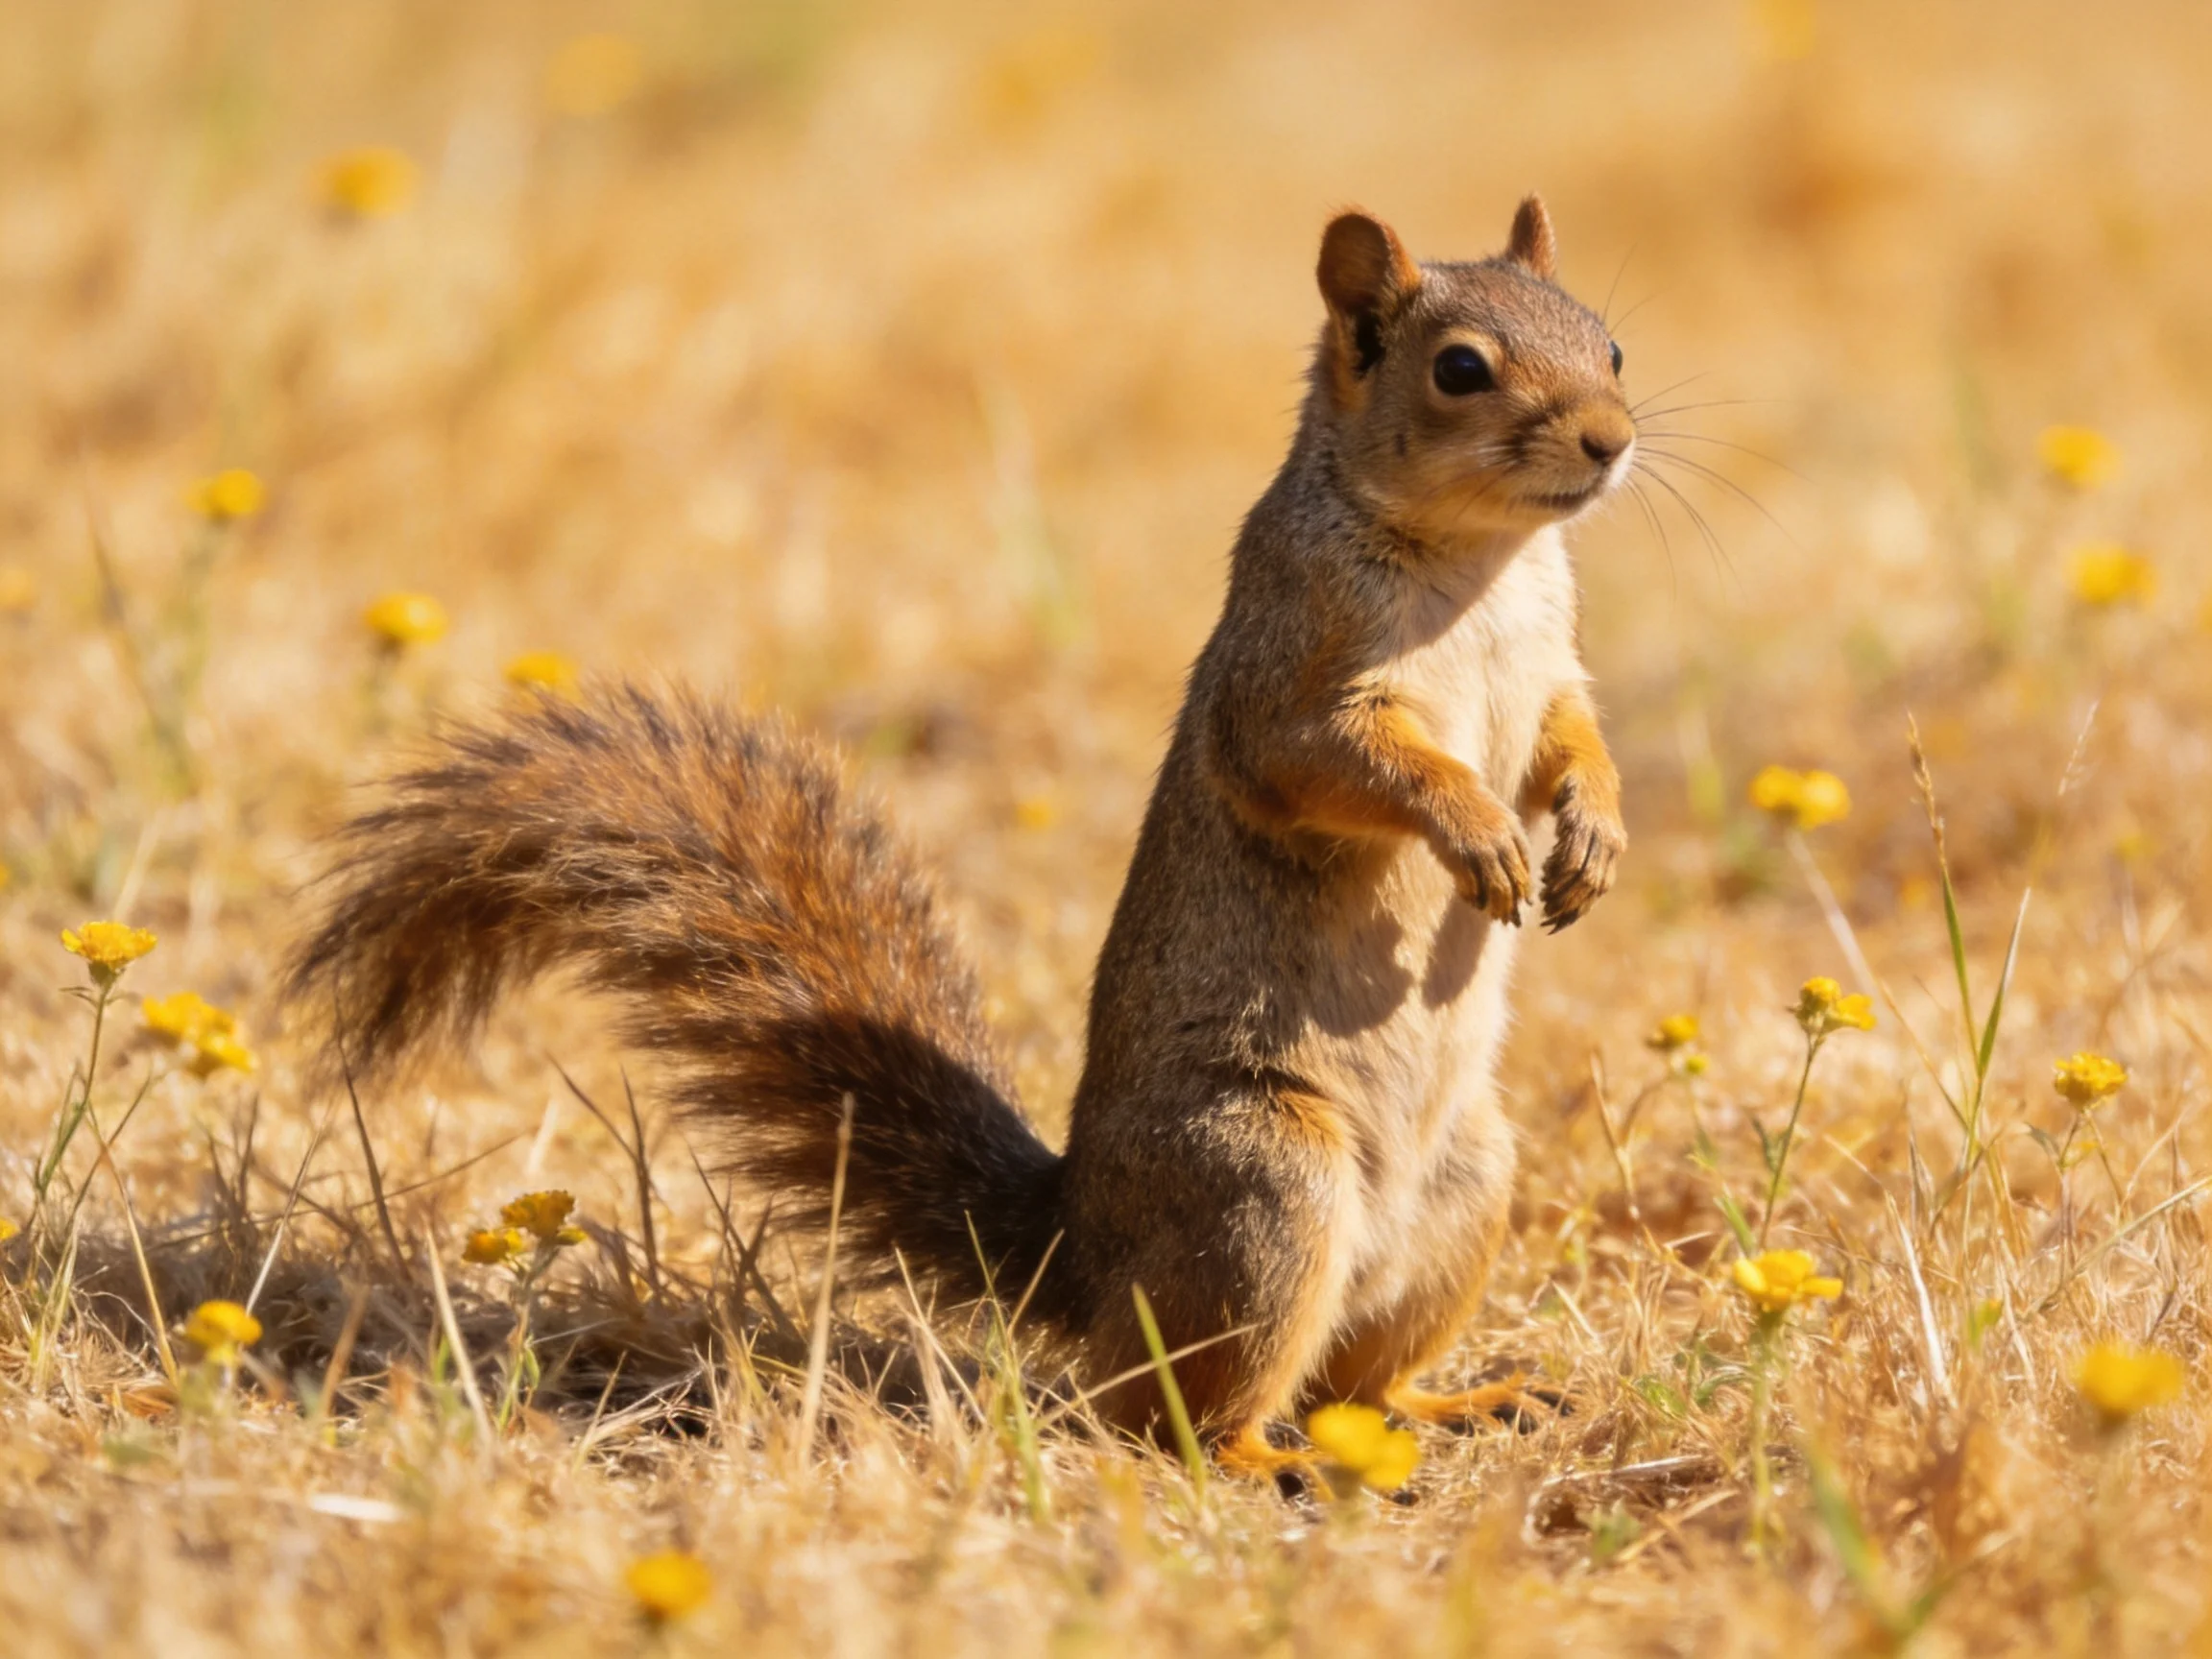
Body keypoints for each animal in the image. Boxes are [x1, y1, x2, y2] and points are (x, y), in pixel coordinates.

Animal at [286, 196, 1632, 1478]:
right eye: (1460, 369)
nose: (1612, 440)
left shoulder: (1552, 670)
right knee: (1173, 1413)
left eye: (1612, 342)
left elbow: (1570, 739)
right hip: (1264, 1187)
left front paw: (1595, 834)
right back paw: (1263, 1462)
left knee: (1353, 1389)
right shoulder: (1287, 675)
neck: (1483, 563)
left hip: (1467, 1186)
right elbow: (1340, 764)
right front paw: (1475, 828)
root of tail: (1080, 1254)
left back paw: (1460, 1402)